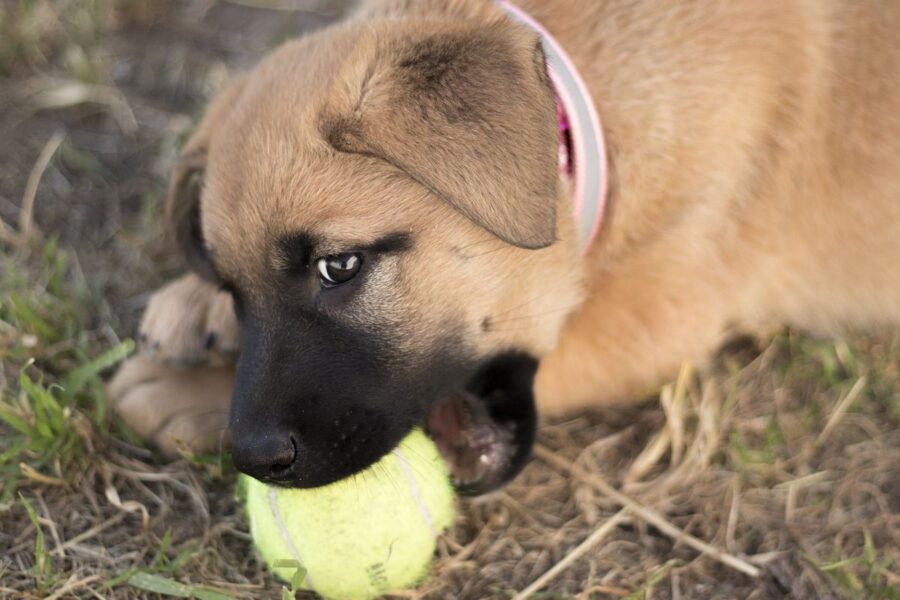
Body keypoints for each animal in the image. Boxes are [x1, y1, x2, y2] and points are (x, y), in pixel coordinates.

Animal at [110, 0, 900, 494]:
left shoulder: (661, 311)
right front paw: (193, 308)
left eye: (340, 266)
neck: (586, 132)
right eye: (235, 289)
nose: (253, 455)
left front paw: (186, 392)